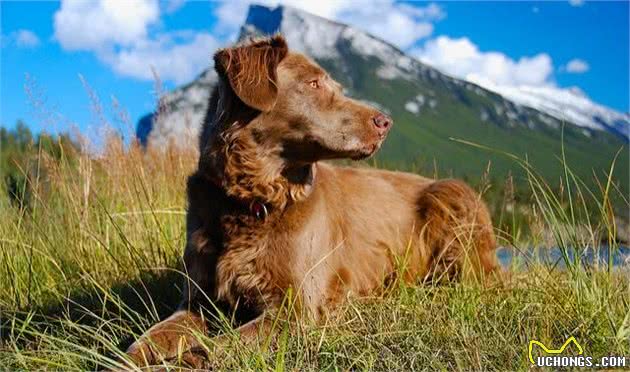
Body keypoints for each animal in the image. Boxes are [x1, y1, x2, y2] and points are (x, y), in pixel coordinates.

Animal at [124, 35, 498, 370]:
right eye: (314, 83)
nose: (385, 122)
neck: (254, 200)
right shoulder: (197, 299)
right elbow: (145, 341)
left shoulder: (296, 308)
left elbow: (214, 348)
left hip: (452, 196)